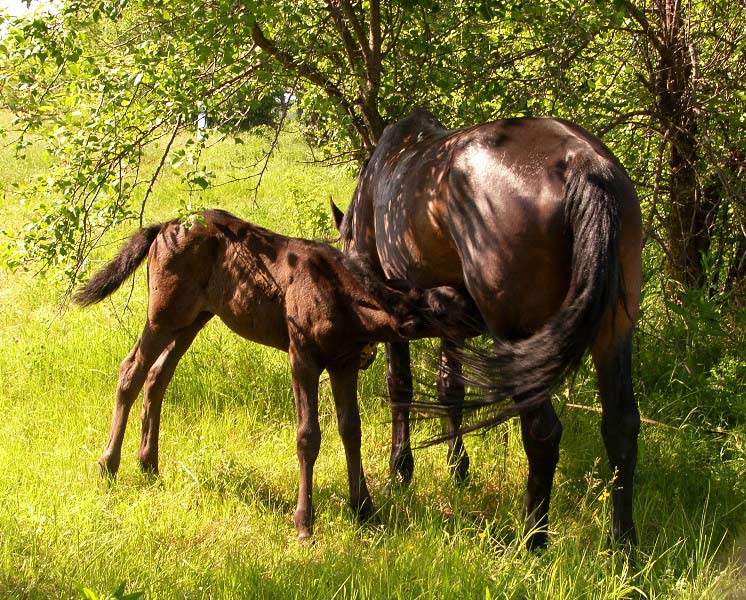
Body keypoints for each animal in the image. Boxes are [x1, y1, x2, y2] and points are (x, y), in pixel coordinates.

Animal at [74, 208, 482, 541]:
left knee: (158, 377)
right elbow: (308, 436)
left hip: (193, 318)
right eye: (446, 309)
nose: (482, 316)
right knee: (131, 371)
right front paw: (304, 523)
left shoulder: (344, 362)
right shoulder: (302, 356)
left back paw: (149, 465)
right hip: (163, 314)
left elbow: (352, 429)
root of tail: (163, 227)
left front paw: (364, 509)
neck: (343, 298)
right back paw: (108, 466)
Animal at [331, 108, 643, 548]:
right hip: (613, 334)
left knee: (542, 434)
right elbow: (450, 389)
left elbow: (400, 387)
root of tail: (583, 162)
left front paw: (399, 470)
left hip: (519, 339)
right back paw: (623, 546)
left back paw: (532, 540)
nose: (360, 356)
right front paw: (457, 467)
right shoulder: (451, 319)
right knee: (621, 428)